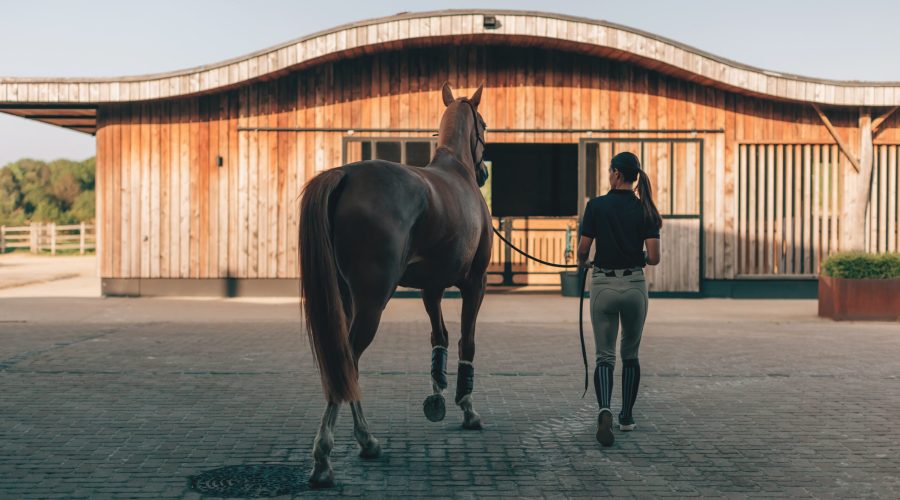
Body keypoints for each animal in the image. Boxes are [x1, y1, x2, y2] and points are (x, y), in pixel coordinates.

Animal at [299, 83, 492, 487]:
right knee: (348, 359)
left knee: (347, 366)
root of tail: (344, 175)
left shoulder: (431, 288)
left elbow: (439, 338)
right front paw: (467, 408)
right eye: (484, 124)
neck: (456, 169)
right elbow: (466, 341)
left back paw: (365, 442)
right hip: (372, 300)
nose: (484, 171)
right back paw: (328, 456)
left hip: (346, 299)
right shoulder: (474, 284)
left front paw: (437, 398)